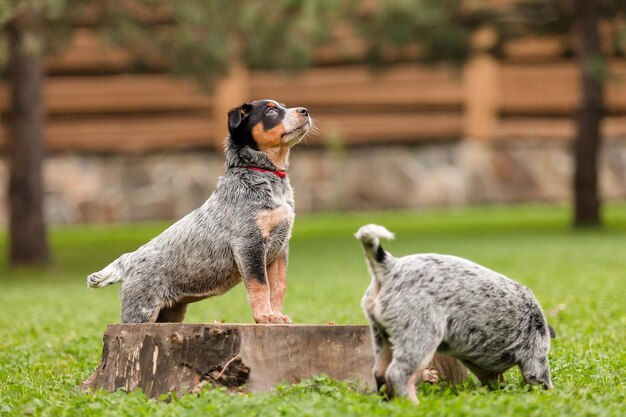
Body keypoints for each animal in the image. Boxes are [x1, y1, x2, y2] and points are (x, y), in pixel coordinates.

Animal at [86, 99, 310, 324]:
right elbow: (260, 285)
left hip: (170, 314)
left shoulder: (280, 247)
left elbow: (279, 287)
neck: (263, 174)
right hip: (141, 312)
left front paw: (277, 315)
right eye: (270, 111)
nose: (305, 111)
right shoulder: (249, 243)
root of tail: (128, 259)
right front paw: (265, 317)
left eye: (283, 106)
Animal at [354, 224, 552, 404]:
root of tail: (390, 266)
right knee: (397, 374)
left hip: (381, 337)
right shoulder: (535, 356)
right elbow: (542, 380)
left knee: (380, 373)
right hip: (420, 339)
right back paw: (413, 404)